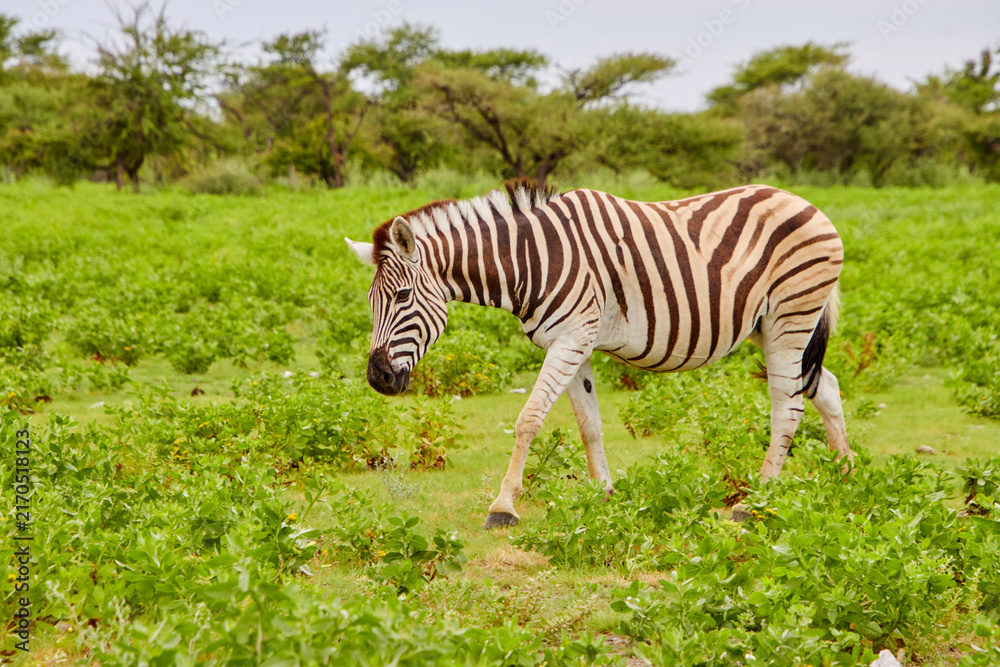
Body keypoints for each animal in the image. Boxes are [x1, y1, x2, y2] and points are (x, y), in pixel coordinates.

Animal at [346, 179, 852, 529]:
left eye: (404, 296)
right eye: (369, 303)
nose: (377, 378)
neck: (531, 259)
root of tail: (809, 205)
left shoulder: (570, 339)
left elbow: (528, 418)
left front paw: (503, 506)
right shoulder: (574, 342)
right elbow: (588, 423)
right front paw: (604, 495)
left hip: (790, 315)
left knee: (787, 408)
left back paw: (756, 501)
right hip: (770, 326)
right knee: (825, 387)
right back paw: (845, 477)